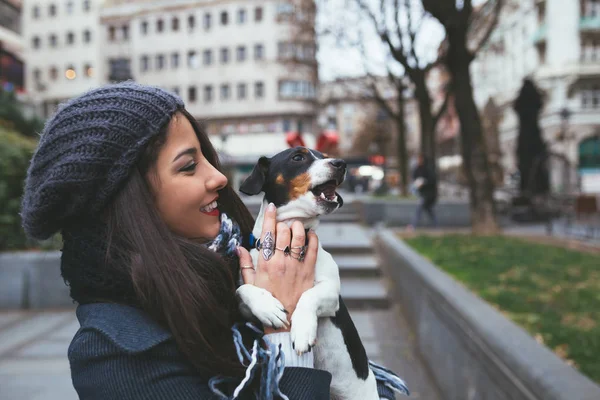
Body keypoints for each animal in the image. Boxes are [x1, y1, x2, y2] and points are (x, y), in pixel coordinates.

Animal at [238, 147, 382, 400]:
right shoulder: (245, 307)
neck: (288, 239)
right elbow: (243, 289)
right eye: (298, 157)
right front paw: (268, 308)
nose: (341, 163)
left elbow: (308, 296)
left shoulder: (331, 295)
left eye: (325, 156)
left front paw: (303, 330)